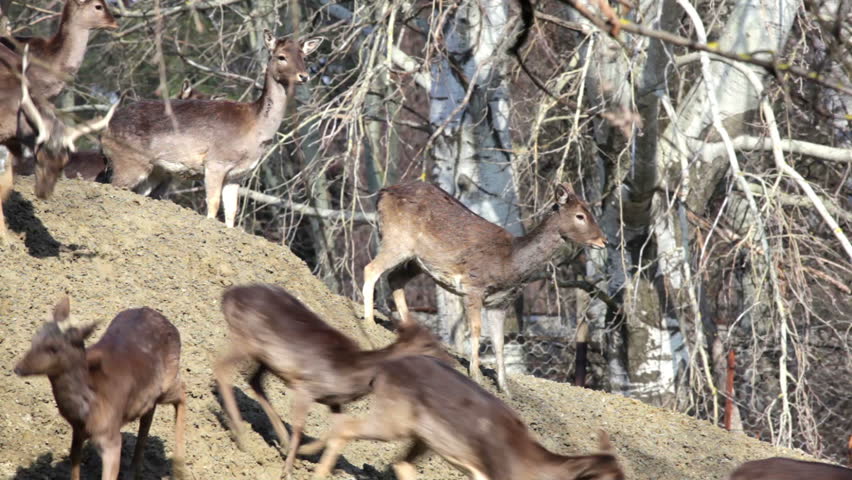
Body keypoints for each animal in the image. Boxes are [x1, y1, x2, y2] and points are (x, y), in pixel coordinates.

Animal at [13, 296, 187, 480]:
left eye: (53, 348)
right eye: (34, 339)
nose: (18, 368)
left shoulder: (110, 437)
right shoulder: (78, 432)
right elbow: (74, 468)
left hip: (167, 383)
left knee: (182, 391)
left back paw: (178, 469)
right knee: (148, 415)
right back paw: (134, 471)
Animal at [100, 31, 323, 228]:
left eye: (305, 57)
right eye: (281, 56)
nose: (304, 76)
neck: (254, 129)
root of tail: (104, 132)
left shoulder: (237, 175)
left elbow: (232, 211)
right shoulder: (216, 162)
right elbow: (213, 205)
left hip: (154, 170)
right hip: (128, 161)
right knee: (113, 186)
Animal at [214, 283, 452, 478]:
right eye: (429, 344)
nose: (450, 363)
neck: (353, 372)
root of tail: (228, 294)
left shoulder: (334, 401)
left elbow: (336, 428)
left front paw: (304, 452)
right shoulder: (306, 386)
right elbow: (300, 427)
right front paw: (288, 469)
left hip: (264, 357)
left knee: (254, 381)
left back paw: (279, 438)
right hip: (245, 339)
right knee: (222, 367)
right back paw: (242, 436)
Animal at [305, 355, 624, 480]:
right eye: (610, 479)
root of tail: (382, 368)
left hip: (422, 436)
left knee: (401, 463)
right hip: (393, 418)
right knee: (348, 426)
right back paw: (317, 469)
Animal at [362, 181, 607, 396]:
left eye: (591, 212)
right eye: (580, 215)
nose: (603, 241)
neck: (510, 262)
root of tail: (382, 193)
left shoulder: (500, 303)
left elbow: (499, 343)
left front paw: (505, 388)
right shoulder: (473, 286)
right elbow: (476, 330)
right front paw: (476, 374)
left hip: (416, 259)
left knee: (394, 278)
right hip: (397, 239)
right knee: (371, 269)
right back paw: (369, 321)